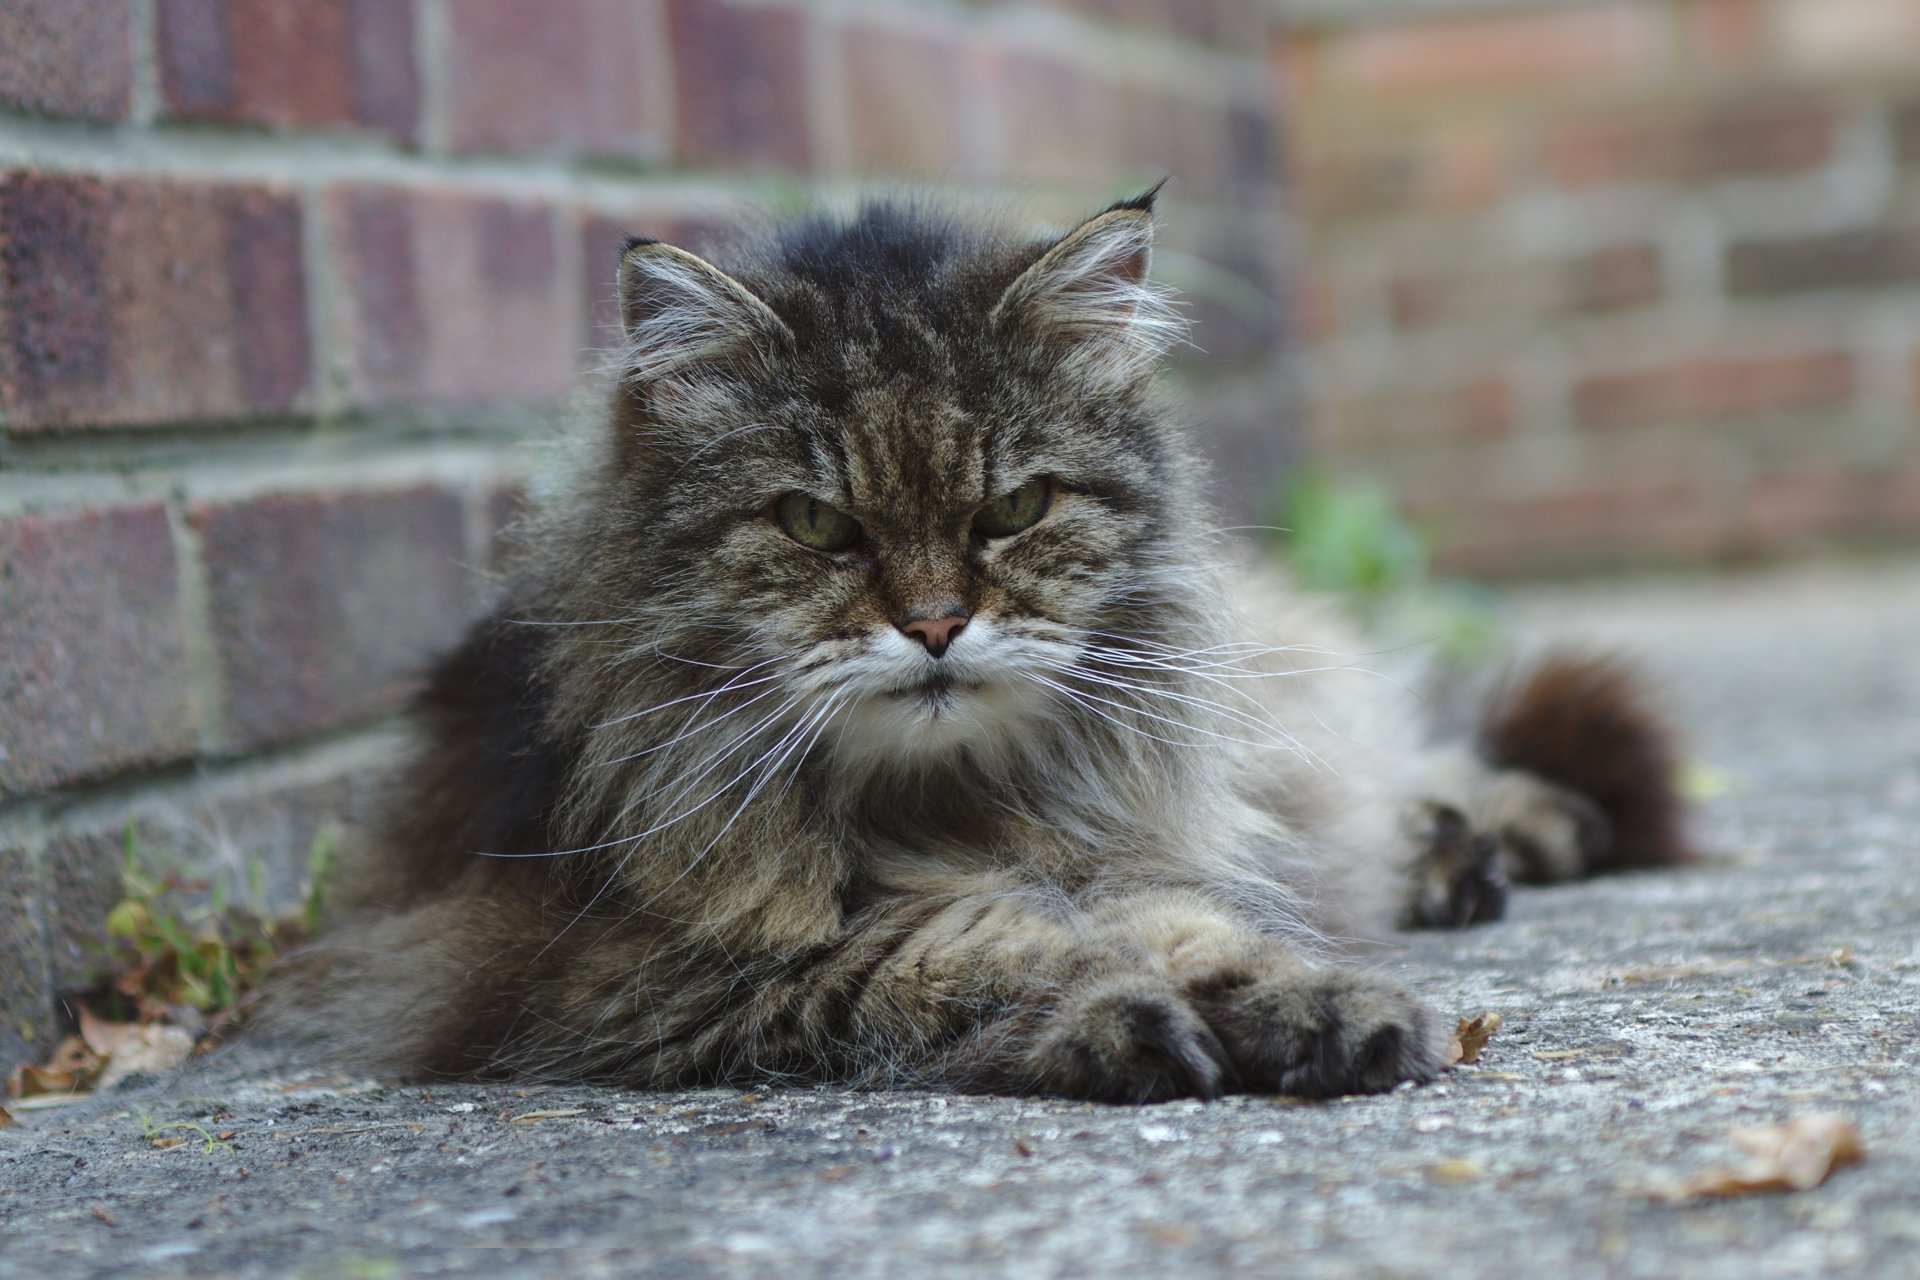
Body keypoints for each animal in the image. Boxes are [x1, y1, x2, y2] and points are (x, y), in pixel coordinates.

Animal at [278, 188, 1689, 1105]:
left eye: (1013, 509)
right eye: (816, 523)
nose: (935, 623)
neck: (939, 804)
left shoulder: (1117, 842)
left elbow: (1195, 919)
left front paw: (1313, 1000)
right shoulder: (608, 970)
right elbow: (971, 946)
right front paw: (1127, 1020)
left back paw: (1497, 834)